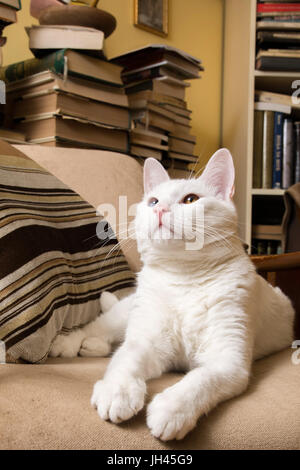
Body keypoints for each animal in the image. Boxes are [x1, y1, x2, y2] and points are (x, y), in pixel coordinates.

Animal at [50, 150, 294, 440]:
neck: (184, 278)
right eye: (153, 201)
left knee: (111, 341)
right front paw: (117, 391)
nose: (159, 209)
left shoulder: (228, 361)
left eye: (190, 199)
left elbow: (199, 380)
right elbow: (125, 360)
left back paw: (92, 347)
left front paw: (172, 409)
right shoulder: (146, 343)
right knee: (98, 329)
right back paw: (69, 343)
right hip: (125, 314)